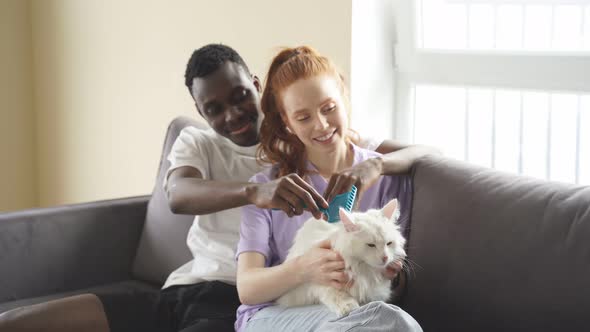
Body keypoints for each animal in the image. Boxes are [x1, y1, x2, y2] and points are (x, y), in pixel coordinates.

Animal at [276, 198, 408, 316]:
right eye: (371, 245)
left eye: (389, 243)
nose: (385, 257)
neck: (363, 269)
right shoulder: (319, 281)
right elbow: (336, 294)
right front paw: (349, 307)